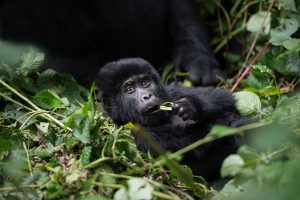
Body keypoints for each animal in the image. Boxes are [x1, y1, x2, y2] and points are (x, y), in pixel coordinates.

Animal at [96, 57, 248, 180]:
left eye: (145, 82)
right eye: (129, 89)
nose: (147, 96)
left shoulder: (172, 92)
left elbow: (222, 97)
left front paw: (192, 105)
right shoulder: (131, 133)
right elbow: (192, 143)